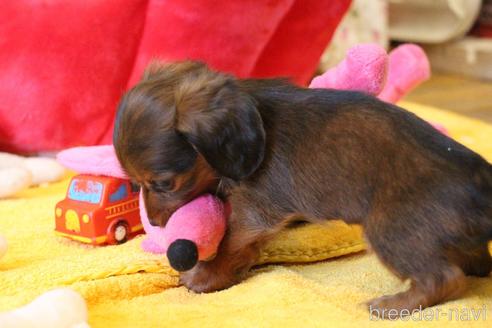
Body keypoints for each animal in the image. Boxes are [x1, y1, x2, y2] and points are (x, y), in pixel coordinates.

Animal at [112, 60, 492, 316]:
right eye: (133, 184)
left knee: (446, 279)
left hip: (391, 231)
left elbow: (231, 238)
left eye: (163, 183)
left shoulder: (254, 209)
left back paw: (394, 304)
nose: (155, 224)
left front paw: (207, 274)